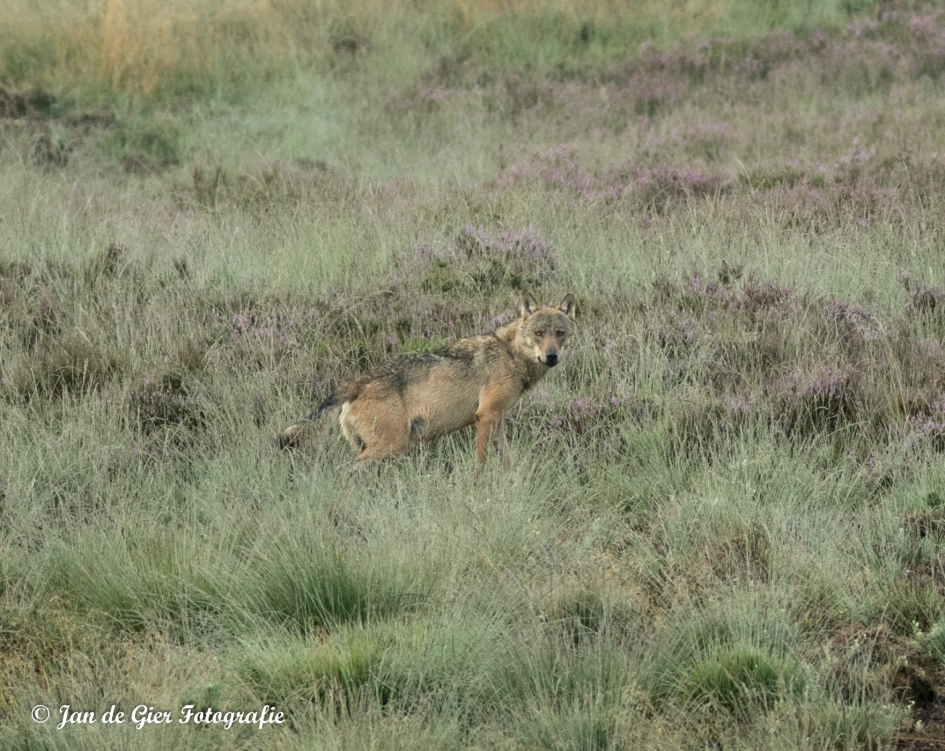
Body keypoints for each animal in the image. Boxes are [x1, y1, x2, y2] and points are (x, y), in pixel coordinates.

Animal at [277, 293, 577, 463]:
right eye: (539, 333)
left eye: (560, 334)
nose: (551, 356)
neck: (510, 354)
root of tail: (357, 382)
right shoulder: (485, 417)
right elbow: (481, 463)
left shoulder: (497, 420)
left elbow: (507, 461)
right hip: (389, 448)